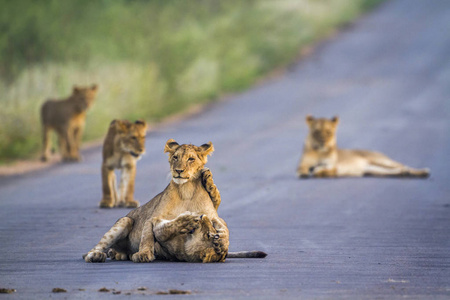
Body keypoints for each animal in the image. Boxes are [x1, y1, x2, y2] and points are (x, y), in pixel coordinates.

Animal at [85, 139, 266, 264]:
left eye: (191, 159)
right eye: (175, 157)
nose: (178, 171)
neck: (186, 192)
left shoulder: (215, 217)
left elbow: (225, 229)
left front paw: (221, 242)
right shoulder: (154, 218)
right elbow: (148, 235)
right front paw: (143, 254)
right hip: (125, 221)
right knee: (99, 246)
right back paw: (96, 255)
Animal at [298, 115, 430, 178]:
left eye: (329, 132)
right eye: (316, 132)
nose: (323, 142)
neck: (320, 150)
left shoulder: (333, 166)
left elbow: (322, 170)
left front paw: (317, 170)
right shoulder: (302, 165)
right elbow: (304, 169)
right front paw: (307, 172)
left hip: (381, 160)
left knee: (403, 165)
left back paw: (423, 171)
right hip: (373, 170)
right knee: (396, 170)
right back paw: (404, 173)